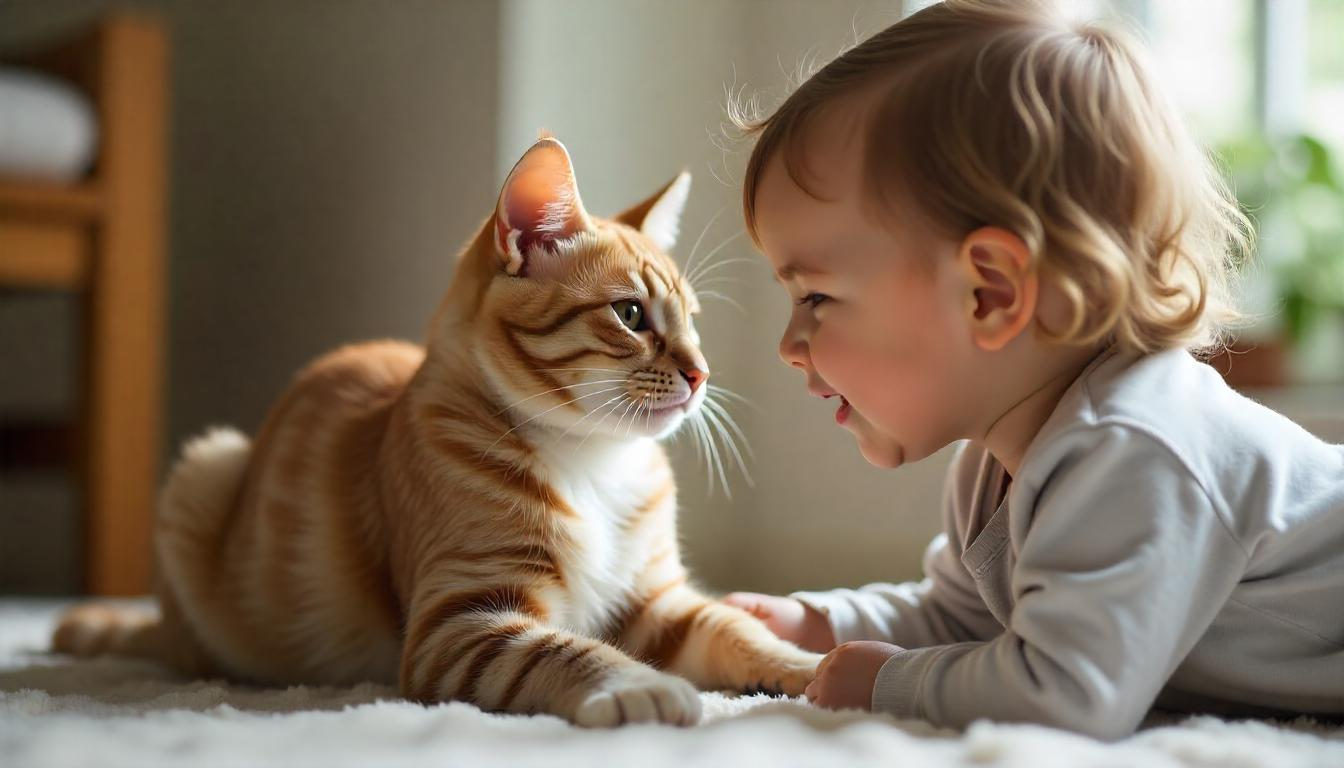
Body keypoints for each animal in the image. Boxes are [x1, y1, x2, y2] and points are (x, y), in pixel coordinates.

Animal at [55, 135, 817, 731]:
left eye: (693, 323)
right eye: (631, 314)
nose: (701, 373)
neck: (593, 461)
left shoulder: (658, 603)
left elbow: (736, 627)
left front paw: (813, 665)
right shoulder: (461, 622)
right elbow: (566, 649)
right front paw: (641, 684)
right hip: (204, 471)